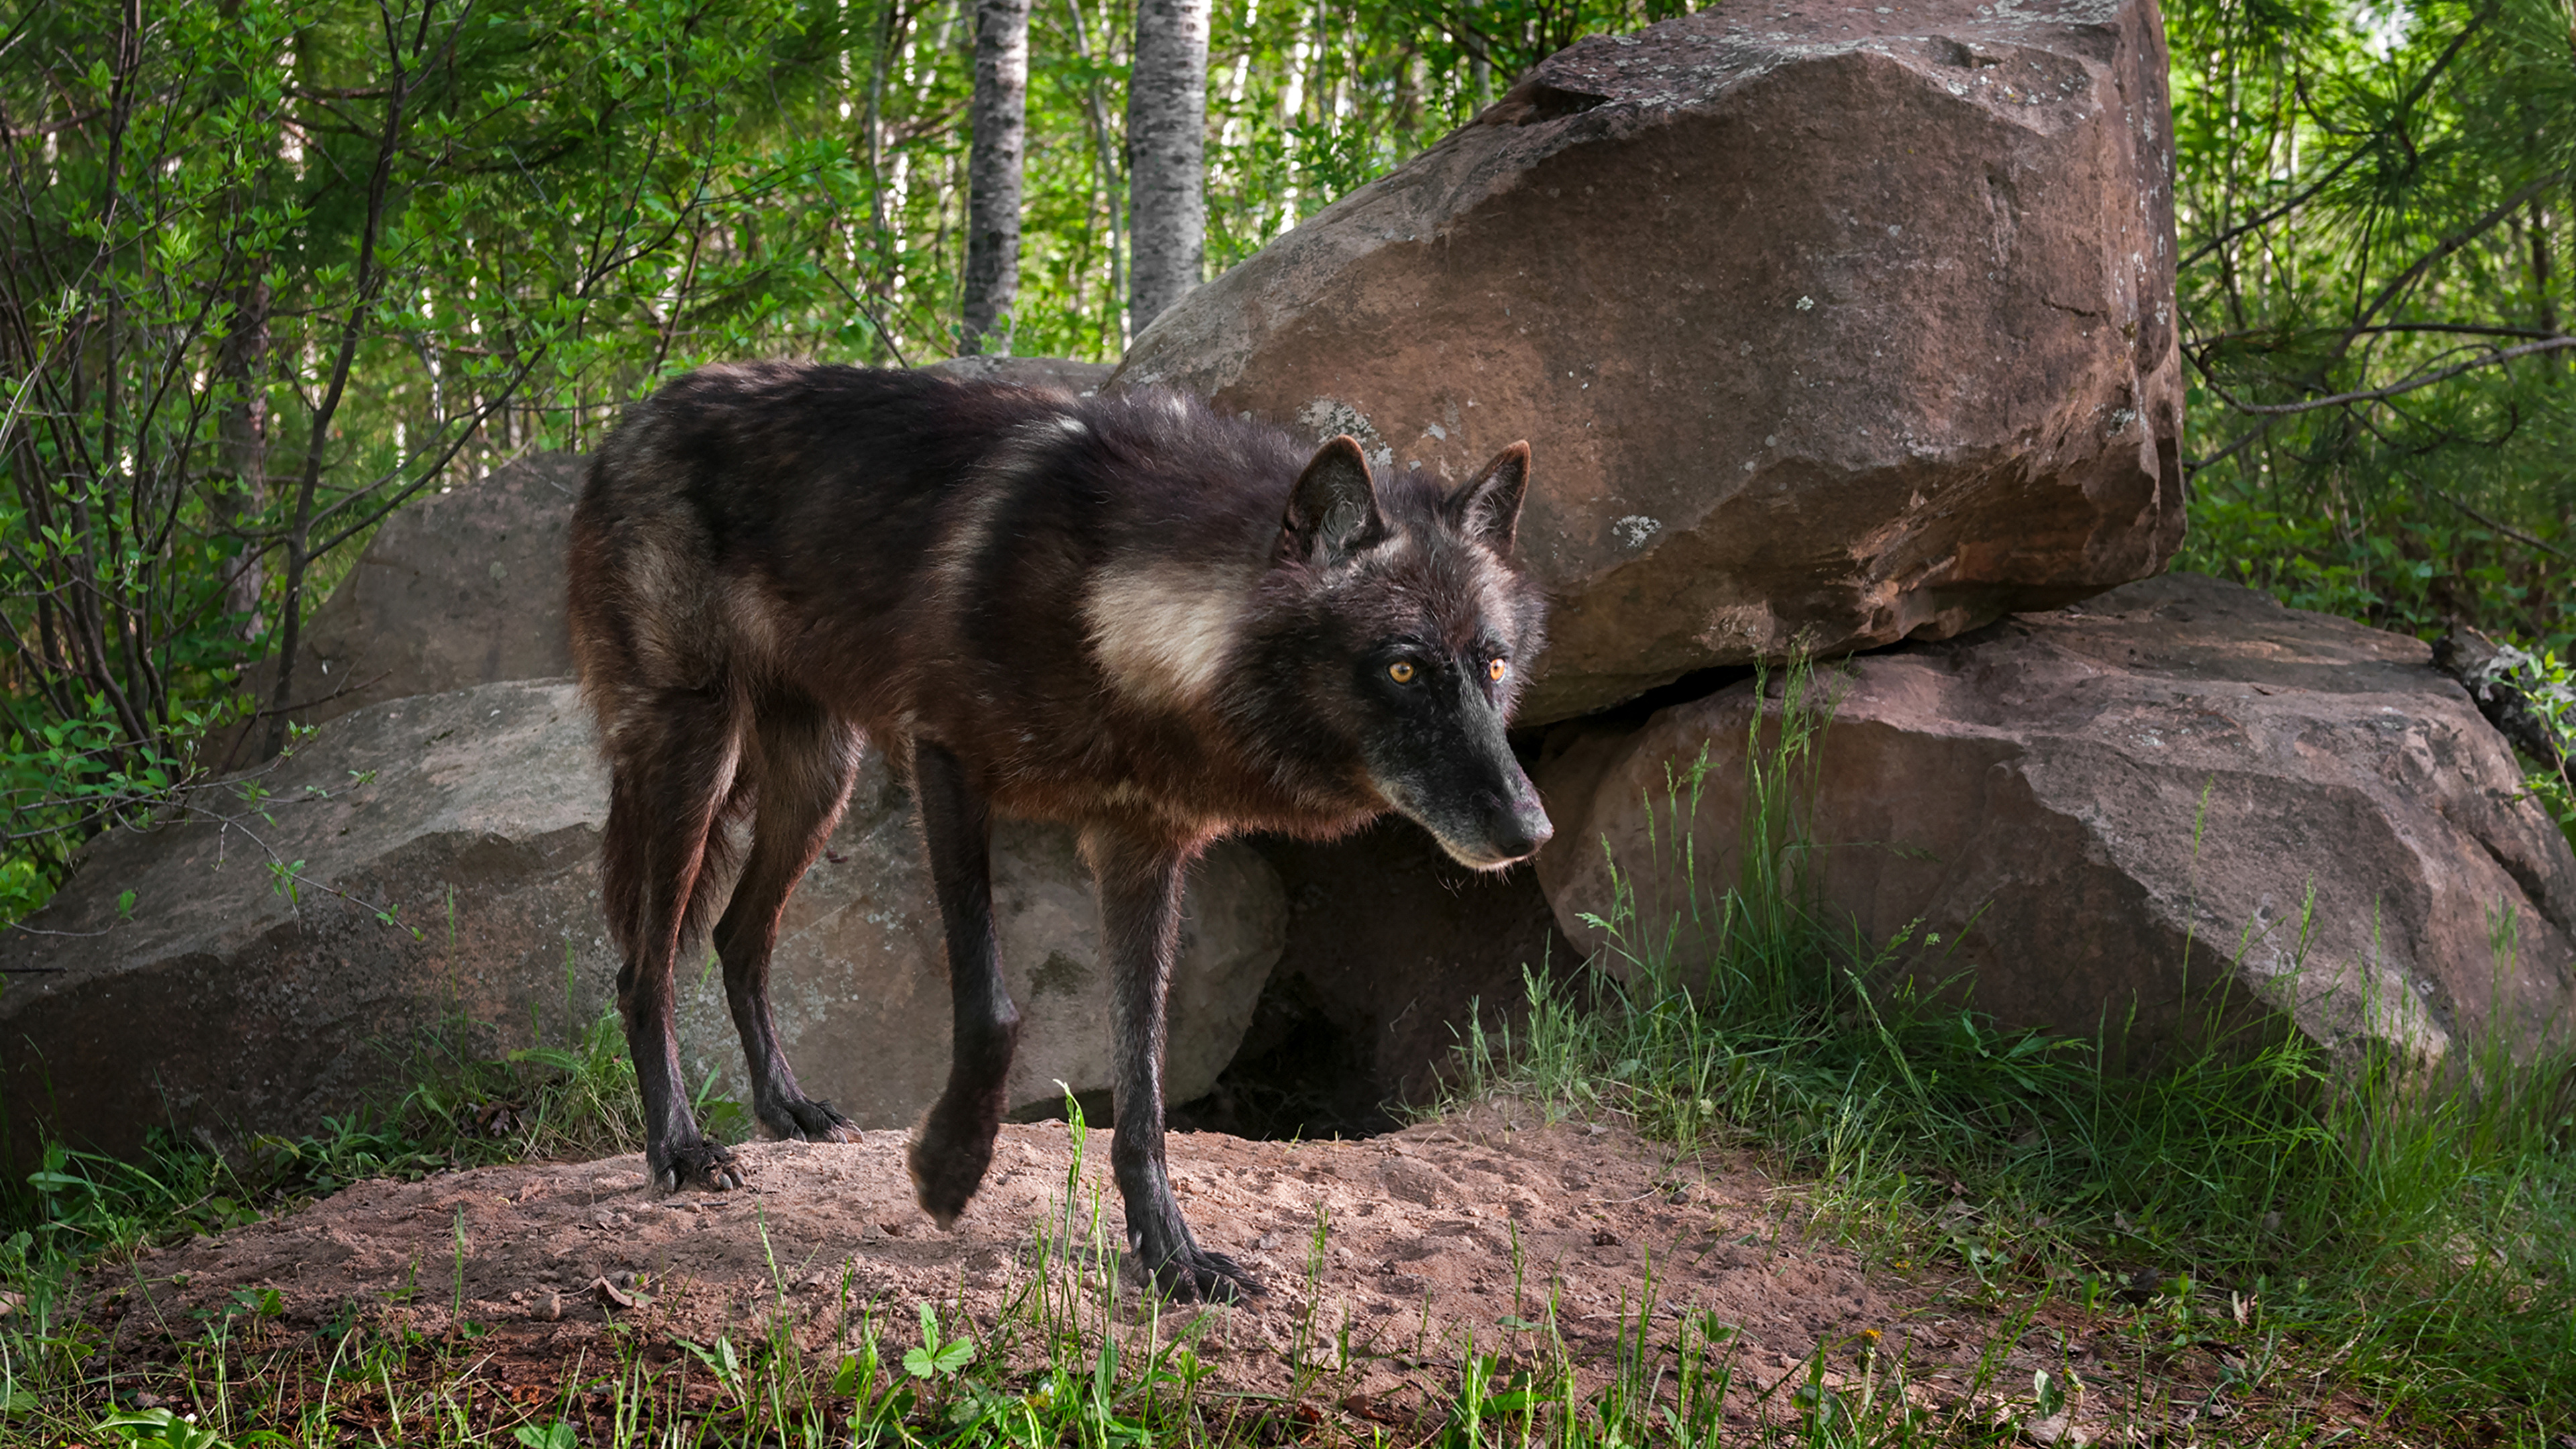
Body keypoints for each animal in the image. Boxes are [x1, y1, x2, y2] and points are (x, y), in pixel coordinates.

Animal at [566, 361, 1551, 1300]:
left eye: (1495, 666)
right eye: (1402, 669)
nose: (1530, 830)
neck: (1112, 618)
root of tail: (638, 416)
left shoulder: (1143, 851)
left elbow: (1145, 1081)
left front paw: (1170, 1251)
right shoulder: (947, 762)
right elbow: (993, 1011)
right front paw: (947, 1171)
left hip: (819, 782)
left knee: (739, 937)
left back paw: (788, 1112)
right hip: (697, 756)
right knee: (643, 969)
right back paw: (681, 1146)